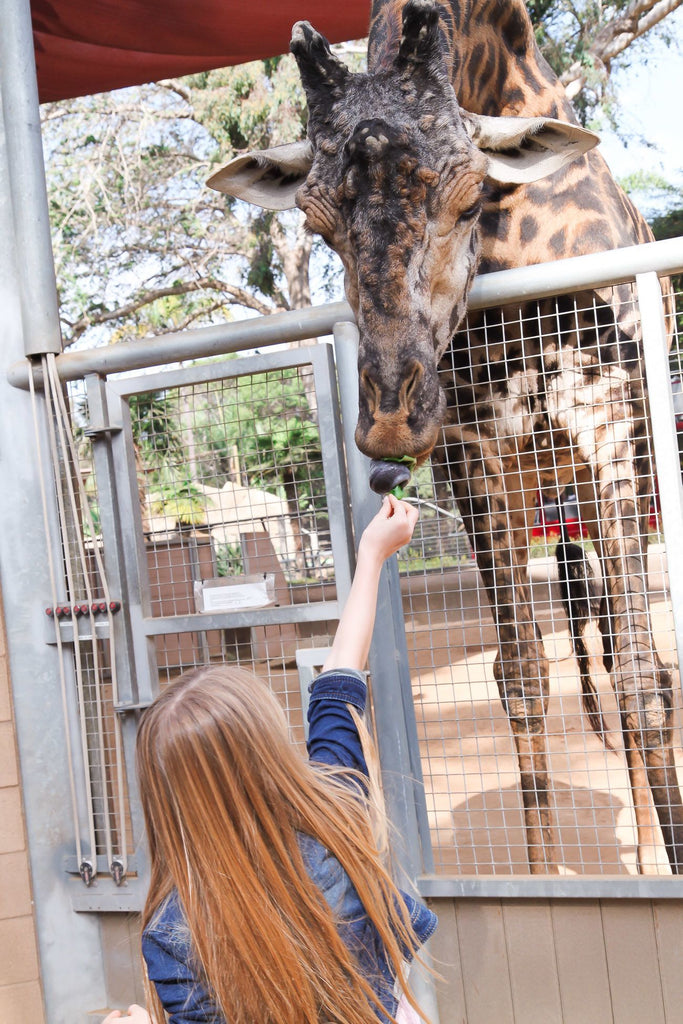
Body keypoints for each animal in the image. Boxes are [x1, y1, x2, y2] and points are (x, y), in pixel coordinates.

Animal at [208, 0, 683, 876]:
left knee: (626, 654)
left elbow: (642, 677)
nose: (390, 422)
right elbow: (519, 674)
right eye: (317, 225)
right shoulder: (474, 454)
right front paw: (543, 882)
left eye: (469, 197)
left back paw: (641, 850)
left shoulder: (613, 428)